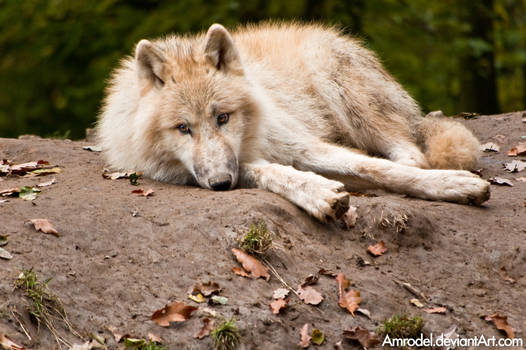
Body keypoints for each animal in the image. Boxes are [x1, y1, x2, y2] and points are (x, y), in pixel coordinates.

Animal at [97, 22, 492, 221]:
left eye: (223, 117)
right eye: (183, 129)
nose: (221, 184)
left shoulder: (302, 144)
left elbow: (377, 168)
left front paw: (452, 184)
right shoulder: (222, 167)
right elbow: (271, 173)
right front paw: (318, 193)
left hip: (339, 88)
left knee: (409, 151)